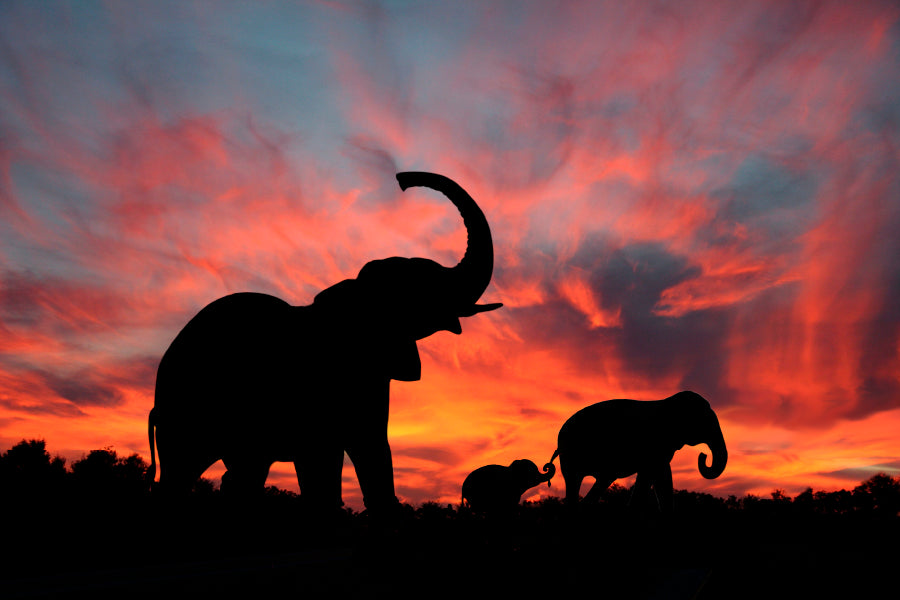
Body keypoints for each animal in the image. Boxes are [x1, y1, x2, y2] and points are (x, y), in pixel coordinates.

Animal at [147, 171, 502, 517]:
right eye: (419, 285)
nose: (402, 180)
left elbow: (371, 448)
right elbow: (324, 465)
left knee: (244, 472)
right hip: (185, 405)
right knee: (181, 472)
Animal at [548, 391, 727, 512]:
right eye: (706, 422)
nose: (703, 455)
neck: (668, 402)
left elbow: (659, 476)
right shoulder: (655, 445)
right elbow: (654, 475)